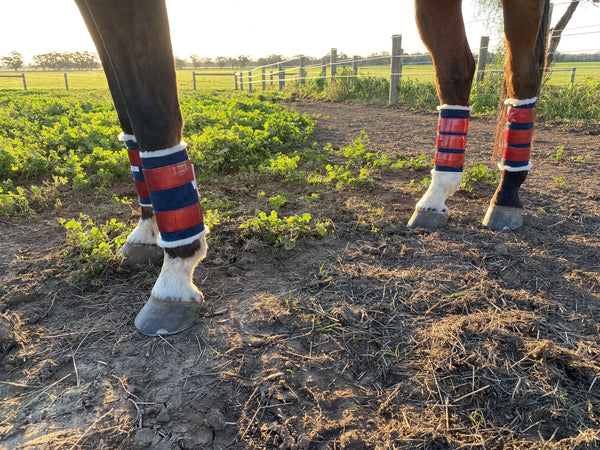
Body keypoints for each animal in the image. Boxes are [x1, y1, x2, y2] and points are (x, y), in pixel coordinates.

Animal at [75, 0, 548, 336]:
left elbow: (148, 111)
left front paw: (173, 277)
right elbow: (126, 117)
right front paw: (146, 230)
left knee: (524, 69)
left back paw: (506, 196)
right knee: (456, 67)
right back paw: (435, 199)